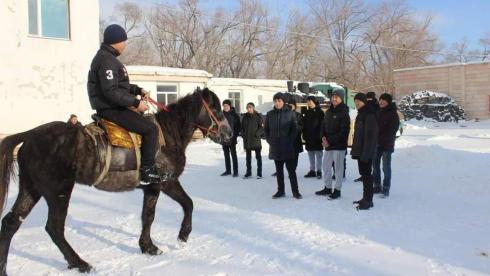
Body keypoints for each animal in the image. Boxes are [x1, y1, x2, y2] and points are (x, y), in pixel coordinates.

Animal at [0, 87, 232, 274]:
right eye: (216, 109)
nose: (229, 134)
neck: (168, 135)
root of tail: (30, 135)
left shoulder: (151, 188)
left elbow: (148, 216)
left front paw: (148, 247)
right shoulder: (166, 183)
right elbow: (188, 204)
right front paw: (183, 236)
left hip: (32, 189)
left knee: (11, 223)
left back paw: (4, 268)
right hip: (59, 191)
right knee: (54, 228)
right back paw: (80, 263)